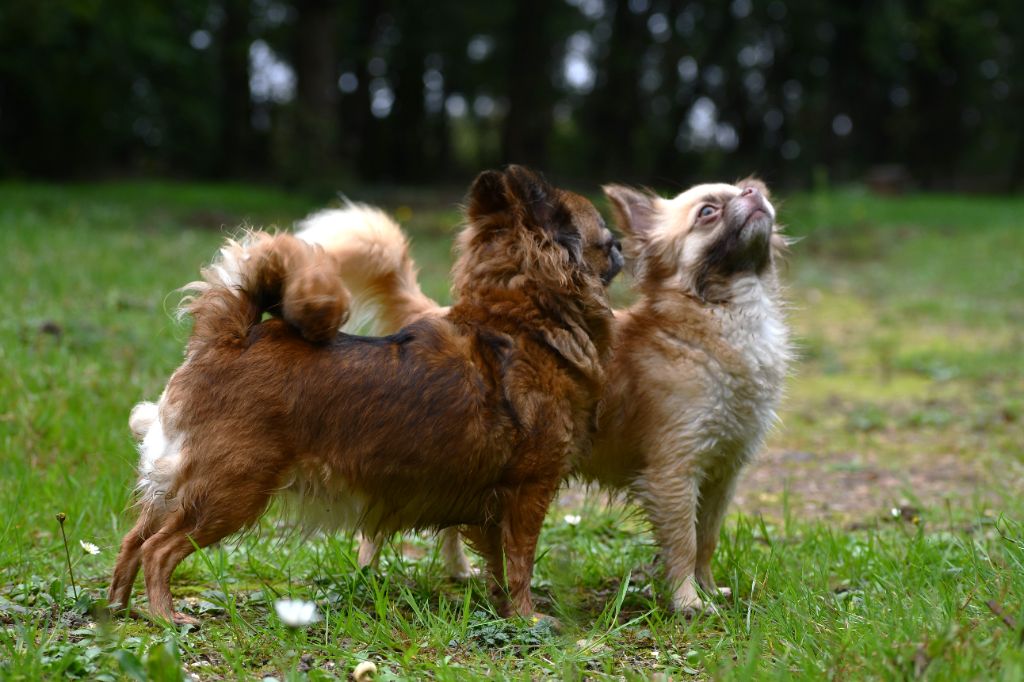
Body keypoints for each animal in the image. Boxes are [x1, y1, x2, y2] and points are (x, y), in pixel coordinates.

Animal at [108, 166, 618, 622]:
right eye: (607, 240)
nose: (621, 250)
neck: (523, 321)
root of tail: (230, 337)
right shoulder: (529, 491)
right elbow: (520, 565)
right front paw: (529, 618)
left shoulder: (493, 505)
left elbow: (497, 567)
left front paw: (503, 611)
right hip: (229, 491)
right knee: (158, 549)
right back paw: (165, 617)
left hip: (180, 489)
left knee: (134, 540)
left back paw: (117, 608)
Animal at [299, 175, 790, 610]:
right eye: (708, 211)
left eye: (747, 190)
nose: (755, 192)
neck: (720, 317)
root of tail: (438, 311)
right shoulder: (674, 473)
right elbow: (684, 543)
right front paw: (688, 601)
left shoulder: (722, 474)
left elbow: (707, 540)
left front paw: (708, 589)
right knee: (375, 529)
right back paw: (368, 576)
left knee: (450, 523)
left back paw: (459, 572)